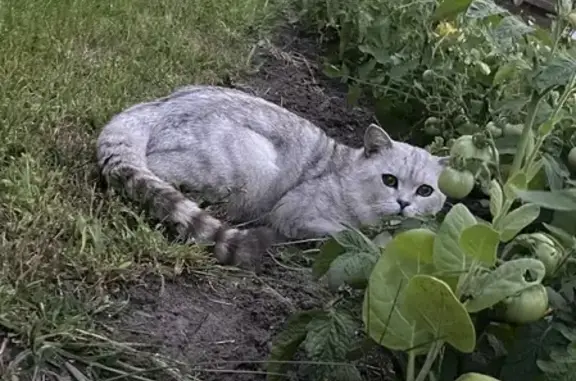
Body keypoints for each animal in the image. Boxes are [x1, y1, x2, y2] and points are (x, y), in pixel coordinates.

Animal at [97, 85, 448, 270]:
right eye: (389, 180)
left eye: (425, 191)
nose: (403, 203)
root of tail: (152, 108)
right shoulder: (294, 214)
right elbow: (349, 235)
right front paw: (374, 249)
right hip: (251, 166)